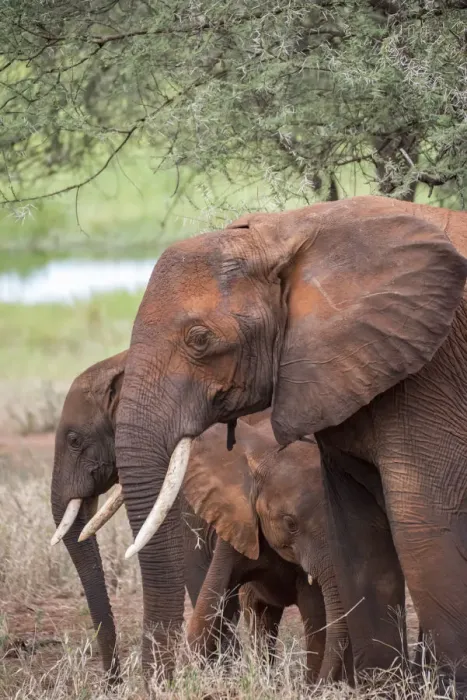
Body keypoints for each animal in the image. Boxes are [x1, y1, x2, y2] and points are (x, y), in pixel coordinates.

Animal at [184, 418, 352, 684]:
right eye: (291, 524)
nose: (322, 685)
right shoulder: (239, 523)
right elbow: (211, 597)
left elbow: (315, 610)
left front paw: (311, 684)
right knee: (257, 617)